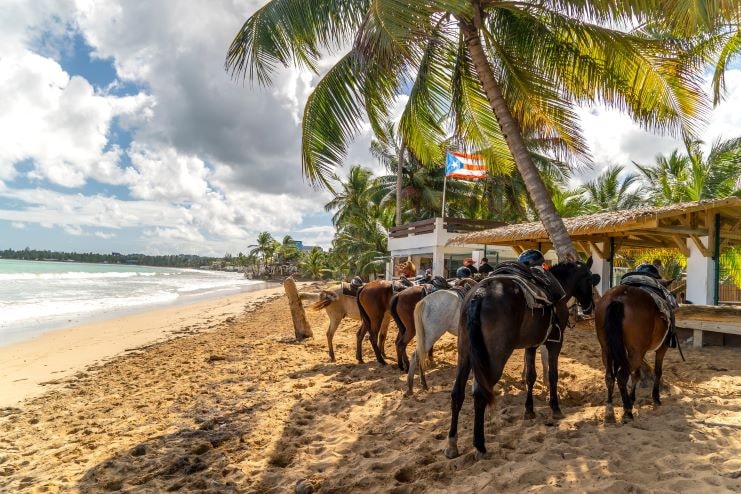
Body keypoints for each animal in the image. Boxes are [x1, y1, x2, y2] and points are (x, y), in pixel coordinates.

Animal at [442, 258, 600, 460]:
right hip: (494, 358)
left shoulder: (531, 345)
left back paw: (452, 443)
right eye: (590, 280)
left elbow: (530, 377)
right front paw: (555, 408)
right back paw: (480, 446)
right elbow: (553, 376)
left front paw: (529, 410)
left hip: (465, 354)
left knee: (457, 394)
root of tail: (480, 293)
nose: (589, 307)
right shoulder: (555, 343)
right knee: (480, 395)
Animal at [596, 284, 672, 422]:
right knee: (621, 376)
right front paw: (656, 397)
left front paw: (632, 399)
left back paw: (610, 408)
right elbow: (658, 371)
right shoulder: (661, 348)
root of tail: (619, 297)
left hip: (607, 349)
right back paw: (627, 411)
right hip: (636, 352)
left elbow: (636, 374)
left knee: (610, 376)